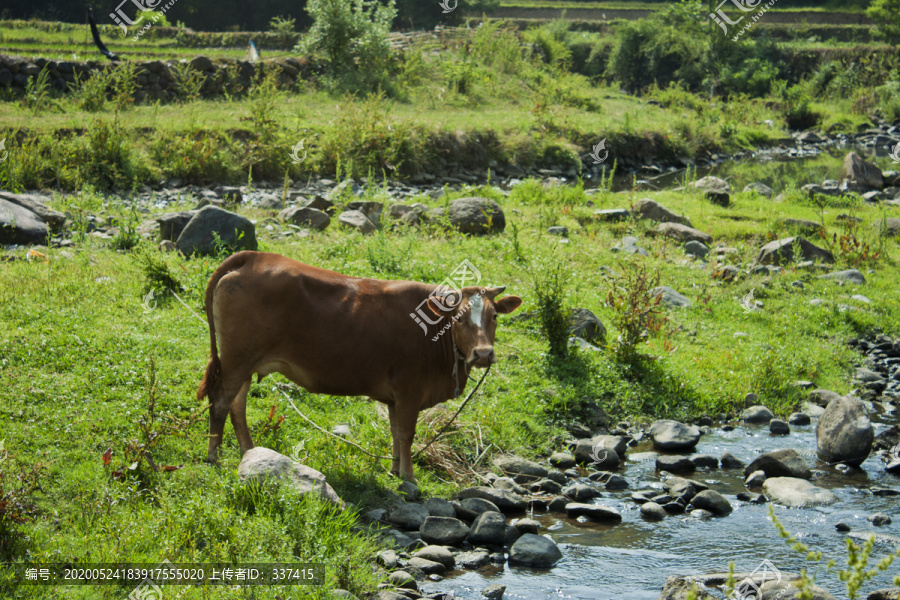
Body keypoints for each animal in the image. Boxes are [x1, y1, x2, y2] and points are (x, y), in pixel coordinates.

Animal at [197, 251, 520, 480]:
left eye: (493, 316)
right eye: (459, 319)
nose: (483, 353)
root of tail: (255, 256)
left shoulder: (395, 397)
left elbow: (395, 431)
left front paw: (394, 470)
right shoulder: (409, 390)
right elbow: (407, 433)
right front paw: (409, 478)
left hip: (245, 363)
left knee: (237, 406)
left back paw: (248, 452)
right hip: (237, 359)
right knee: (221, 402)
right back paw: (214, 456)